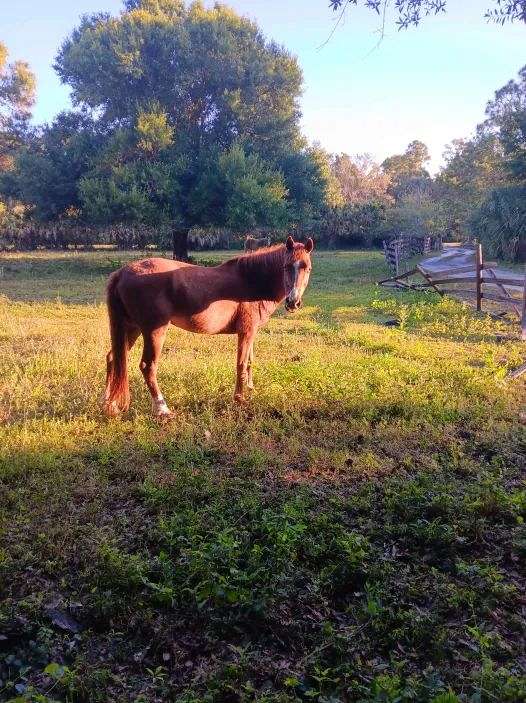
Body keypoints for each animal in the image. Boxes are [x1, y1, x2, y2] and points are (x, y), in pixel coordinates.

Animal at [104, 236, 314, 418]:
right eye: (286, 266)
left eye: (308, 268)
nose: (293, 302)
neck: (252, 281)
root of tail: (122, 273)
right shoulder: (246, 332)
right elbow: (241, 364)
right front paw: (239, 399)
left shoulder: (252, 332)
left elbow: (250, 362)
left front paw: (250, 389)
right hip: (153, 330)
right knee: (148, 366)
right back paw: (162, 409)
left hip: (132, 328)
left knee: (113, 358)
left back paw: (108, 404)